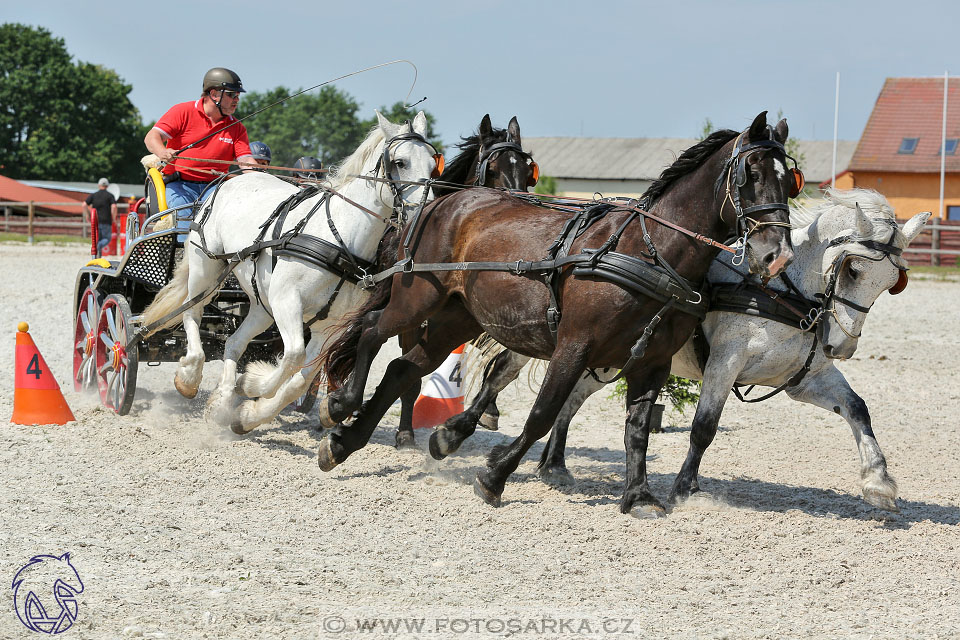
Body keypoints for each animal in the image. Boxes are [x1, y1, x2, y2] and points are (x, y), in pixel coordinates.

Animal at [142, 110, 438, 432]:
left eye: (433, 165)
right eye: (400, 162)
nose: (427, 209)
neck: (340, 237)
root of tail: (229, 180)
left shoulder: (331, 326)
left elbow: (300, 380)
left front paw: (248, 411)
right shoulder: (288, 300)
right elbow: (294, 356)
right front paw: (253, 385)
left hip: (262, 304)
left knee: (234, 341)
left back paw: (220, 404)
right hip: (207, 268)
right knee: (191, 313)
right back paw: (188, 378)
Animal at [316, 112, 796, 516]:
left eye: (789, 181)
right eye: (751, 175)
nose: (777, 256)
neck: (652, 252)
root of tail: (439, 205)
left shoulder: (652, 363)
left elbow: (638, 429)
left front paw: (639, 495)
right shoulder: (574, 345)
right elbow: (542, 414)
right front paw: (494, 477)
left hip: (457, 319)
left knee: (402, 369)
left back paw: (346, 442)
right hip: (417, 300)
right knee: (372, 333)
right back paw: (342, 405)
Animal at [450, 188, 928, 512]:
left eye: (893, 281)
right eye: (853, 269)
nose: (840, 345)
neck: (777, 291)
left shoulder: (804, 379)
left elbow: (857, 409)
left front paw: (878, 481)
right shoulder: (725, 364)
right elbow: (704, 428)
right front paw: (686, 489)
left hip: (605, 359)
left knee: (570, 399)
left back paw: (554, 465)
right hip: (551, 342)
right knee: (502, 374)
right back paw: (463, 431)